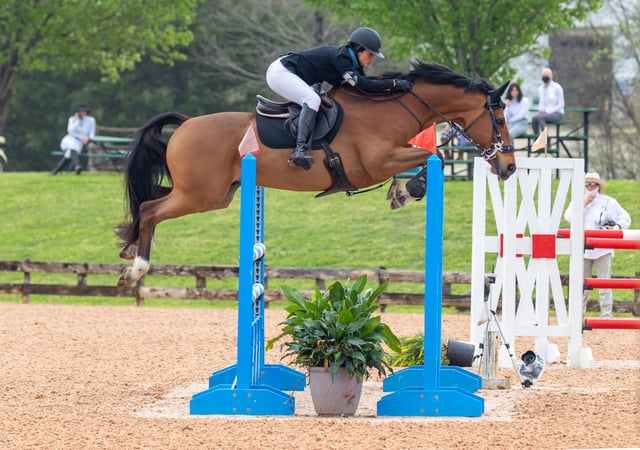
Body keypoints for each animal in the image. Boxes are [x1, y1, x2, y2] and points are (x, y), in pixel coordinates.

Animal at [116, 60, 516, 286]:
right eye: (498, 119)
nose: (509, 167)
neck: (388, 110)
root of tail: (185, 124)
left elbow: (432, 154)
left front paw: (400, 192)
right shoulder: (375, 163)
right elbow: (433, 155)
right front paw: (408, 191)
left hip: (215, 194)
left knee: (150, 199)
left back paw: (129, 242)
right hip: (199, 194)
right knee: (150, 209)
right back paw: (136, 268)